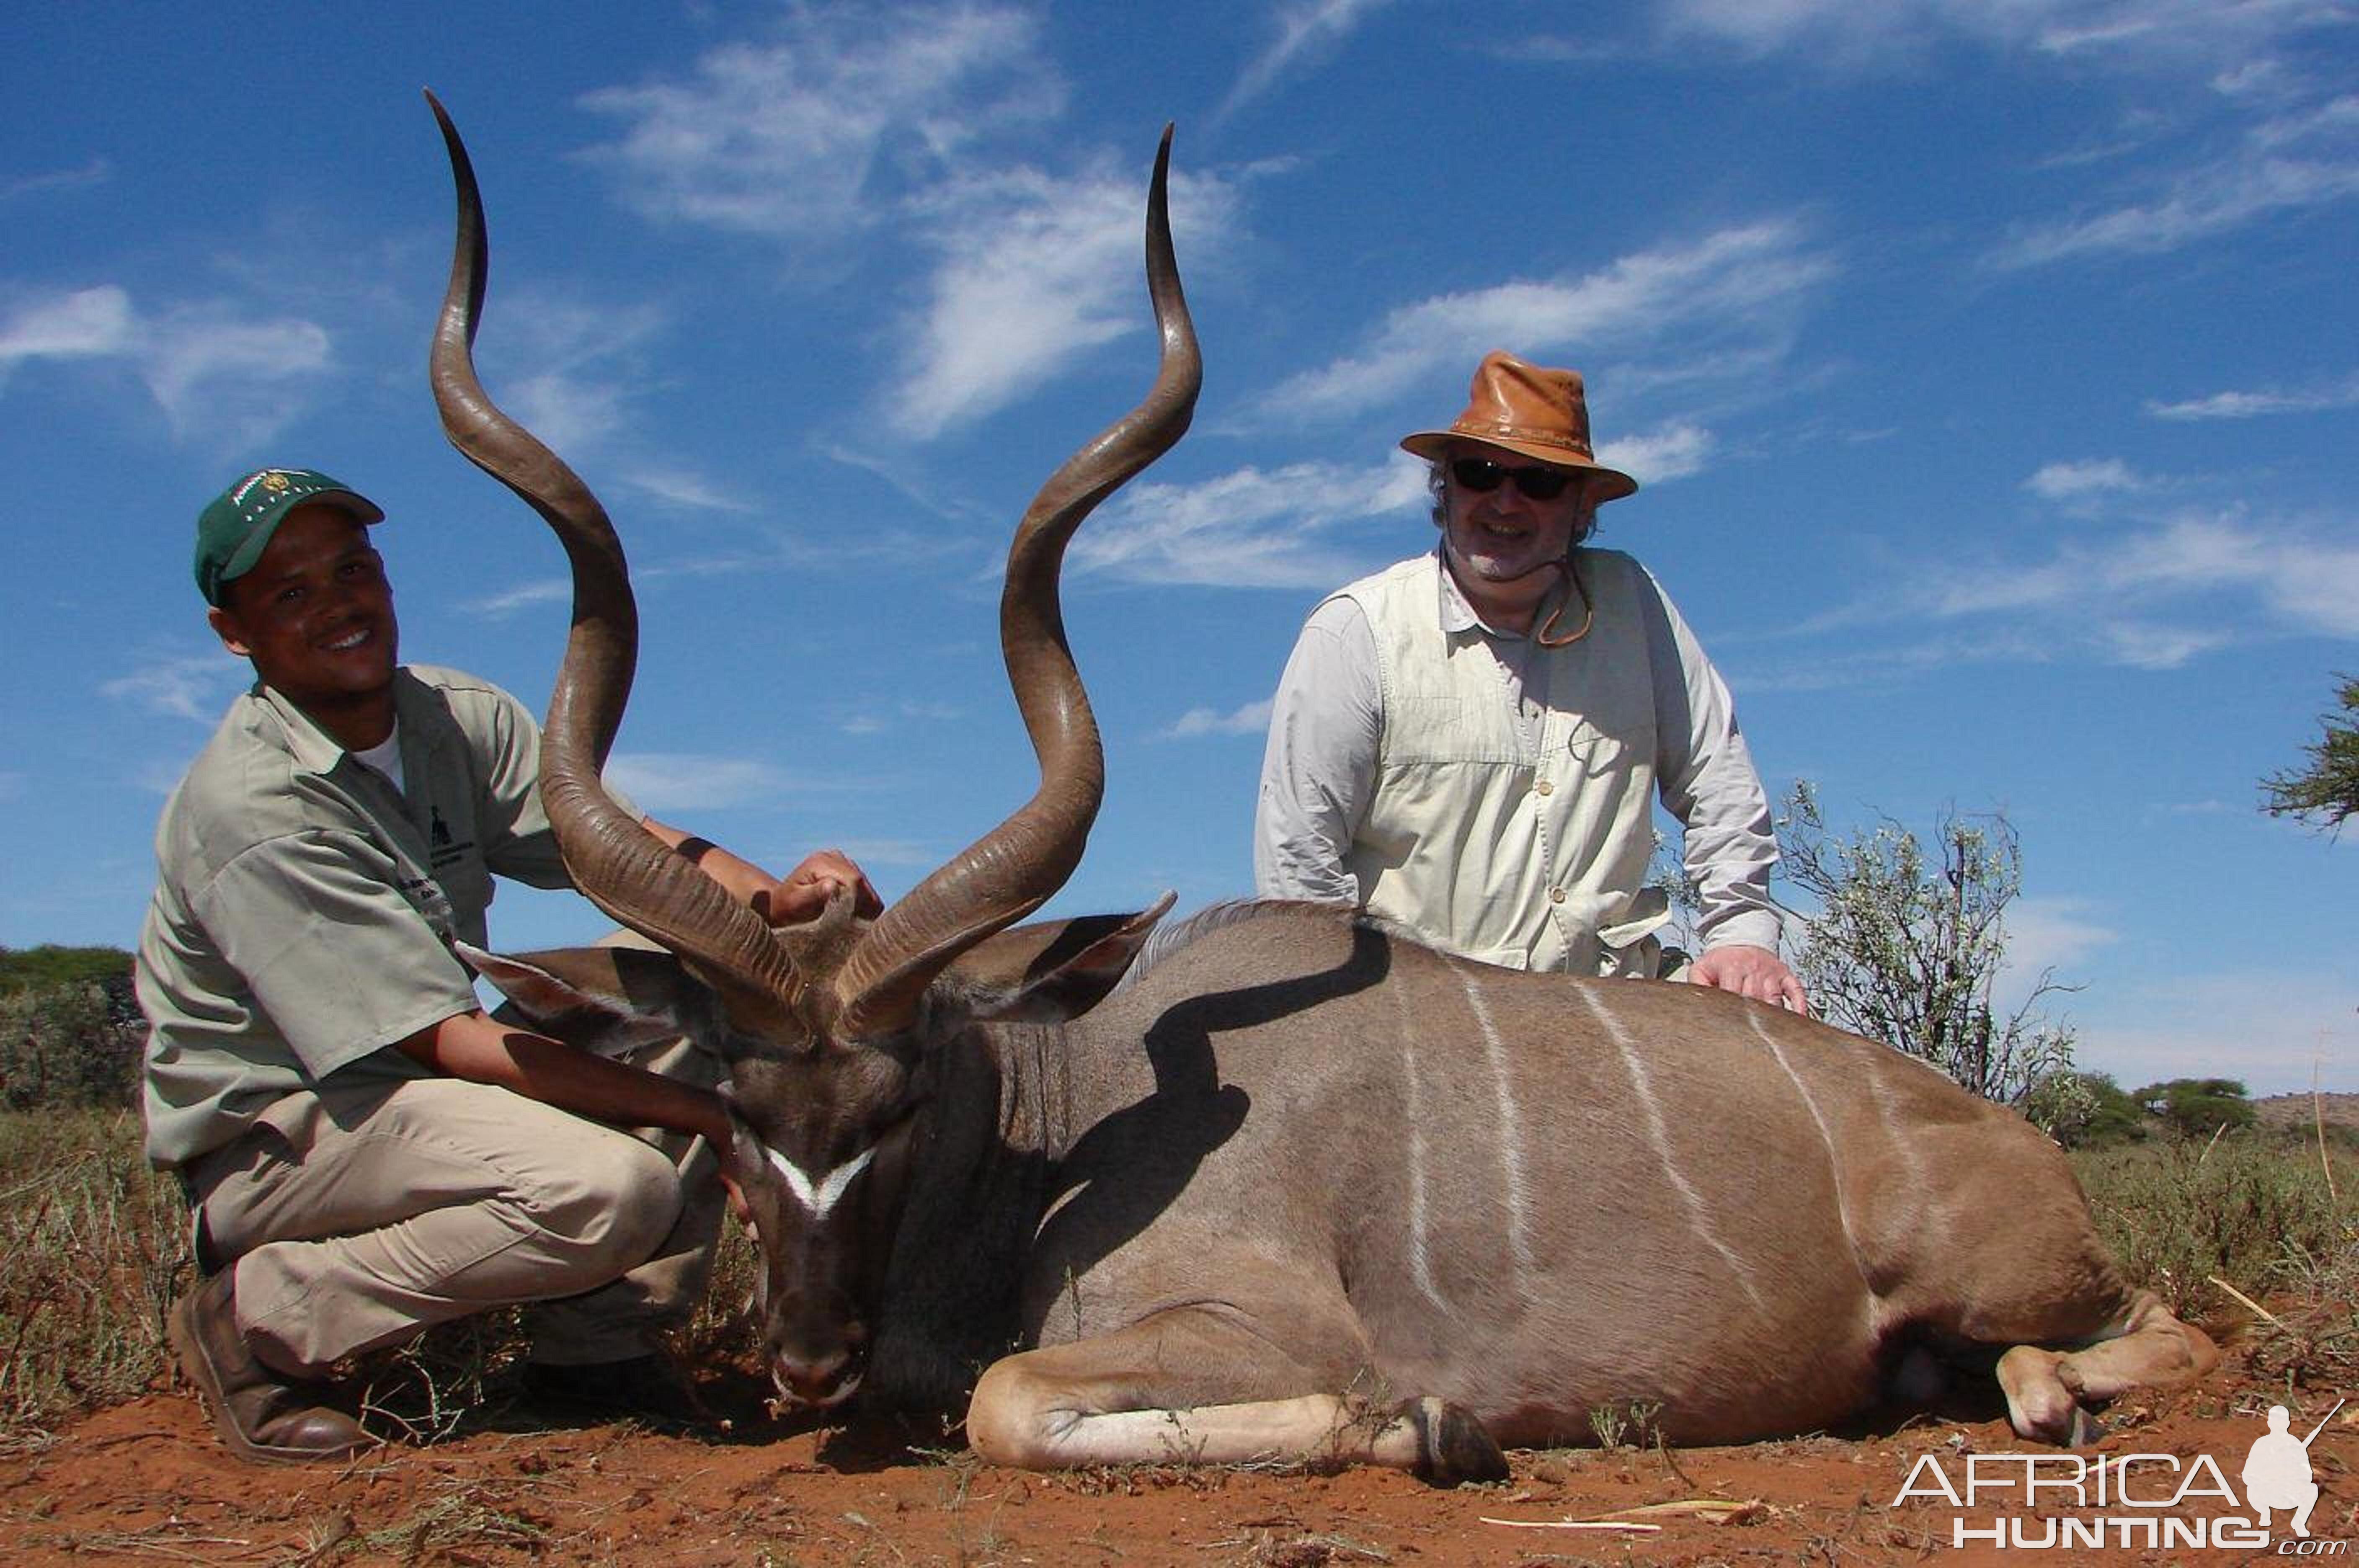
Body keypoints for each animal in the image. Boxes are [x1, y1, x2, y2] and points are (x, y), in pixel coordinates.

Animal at [424, 98, 2208, 1480]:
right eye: (734, 1106)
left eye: (904, 1099)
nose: (805, 1360)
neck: (1070, 1125)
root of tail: (2010, 1135)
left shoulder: (1257, 1318)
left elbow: (1016, 1400)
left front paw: (1429, 1424)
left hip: (2016, 1271)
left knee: (2164, 1331)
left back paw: (2043, 1397)